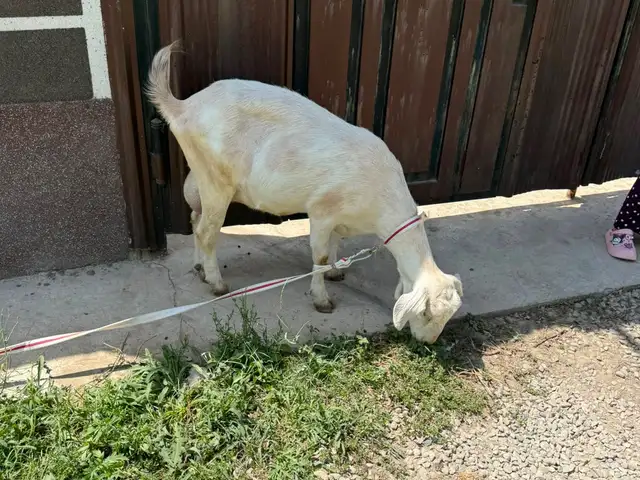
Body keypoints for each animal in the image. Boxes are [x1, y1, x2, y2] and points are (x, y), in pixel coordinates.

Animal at [149, 42, 463, 344]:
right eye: (426, 313)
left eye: (448, 316)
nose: (428, 342)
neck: (380, 193)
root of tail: (183, 106)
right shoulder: (322, 210)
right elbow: (320, 256)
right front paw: (322, 300)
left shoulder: (340, 218)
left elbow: (335, 245)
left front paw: (336, 272)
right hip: (216, 180)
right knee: (207, 231)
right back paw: (217, 283)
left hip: (200, 175)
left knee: (195, 218)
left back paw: (200, 268)